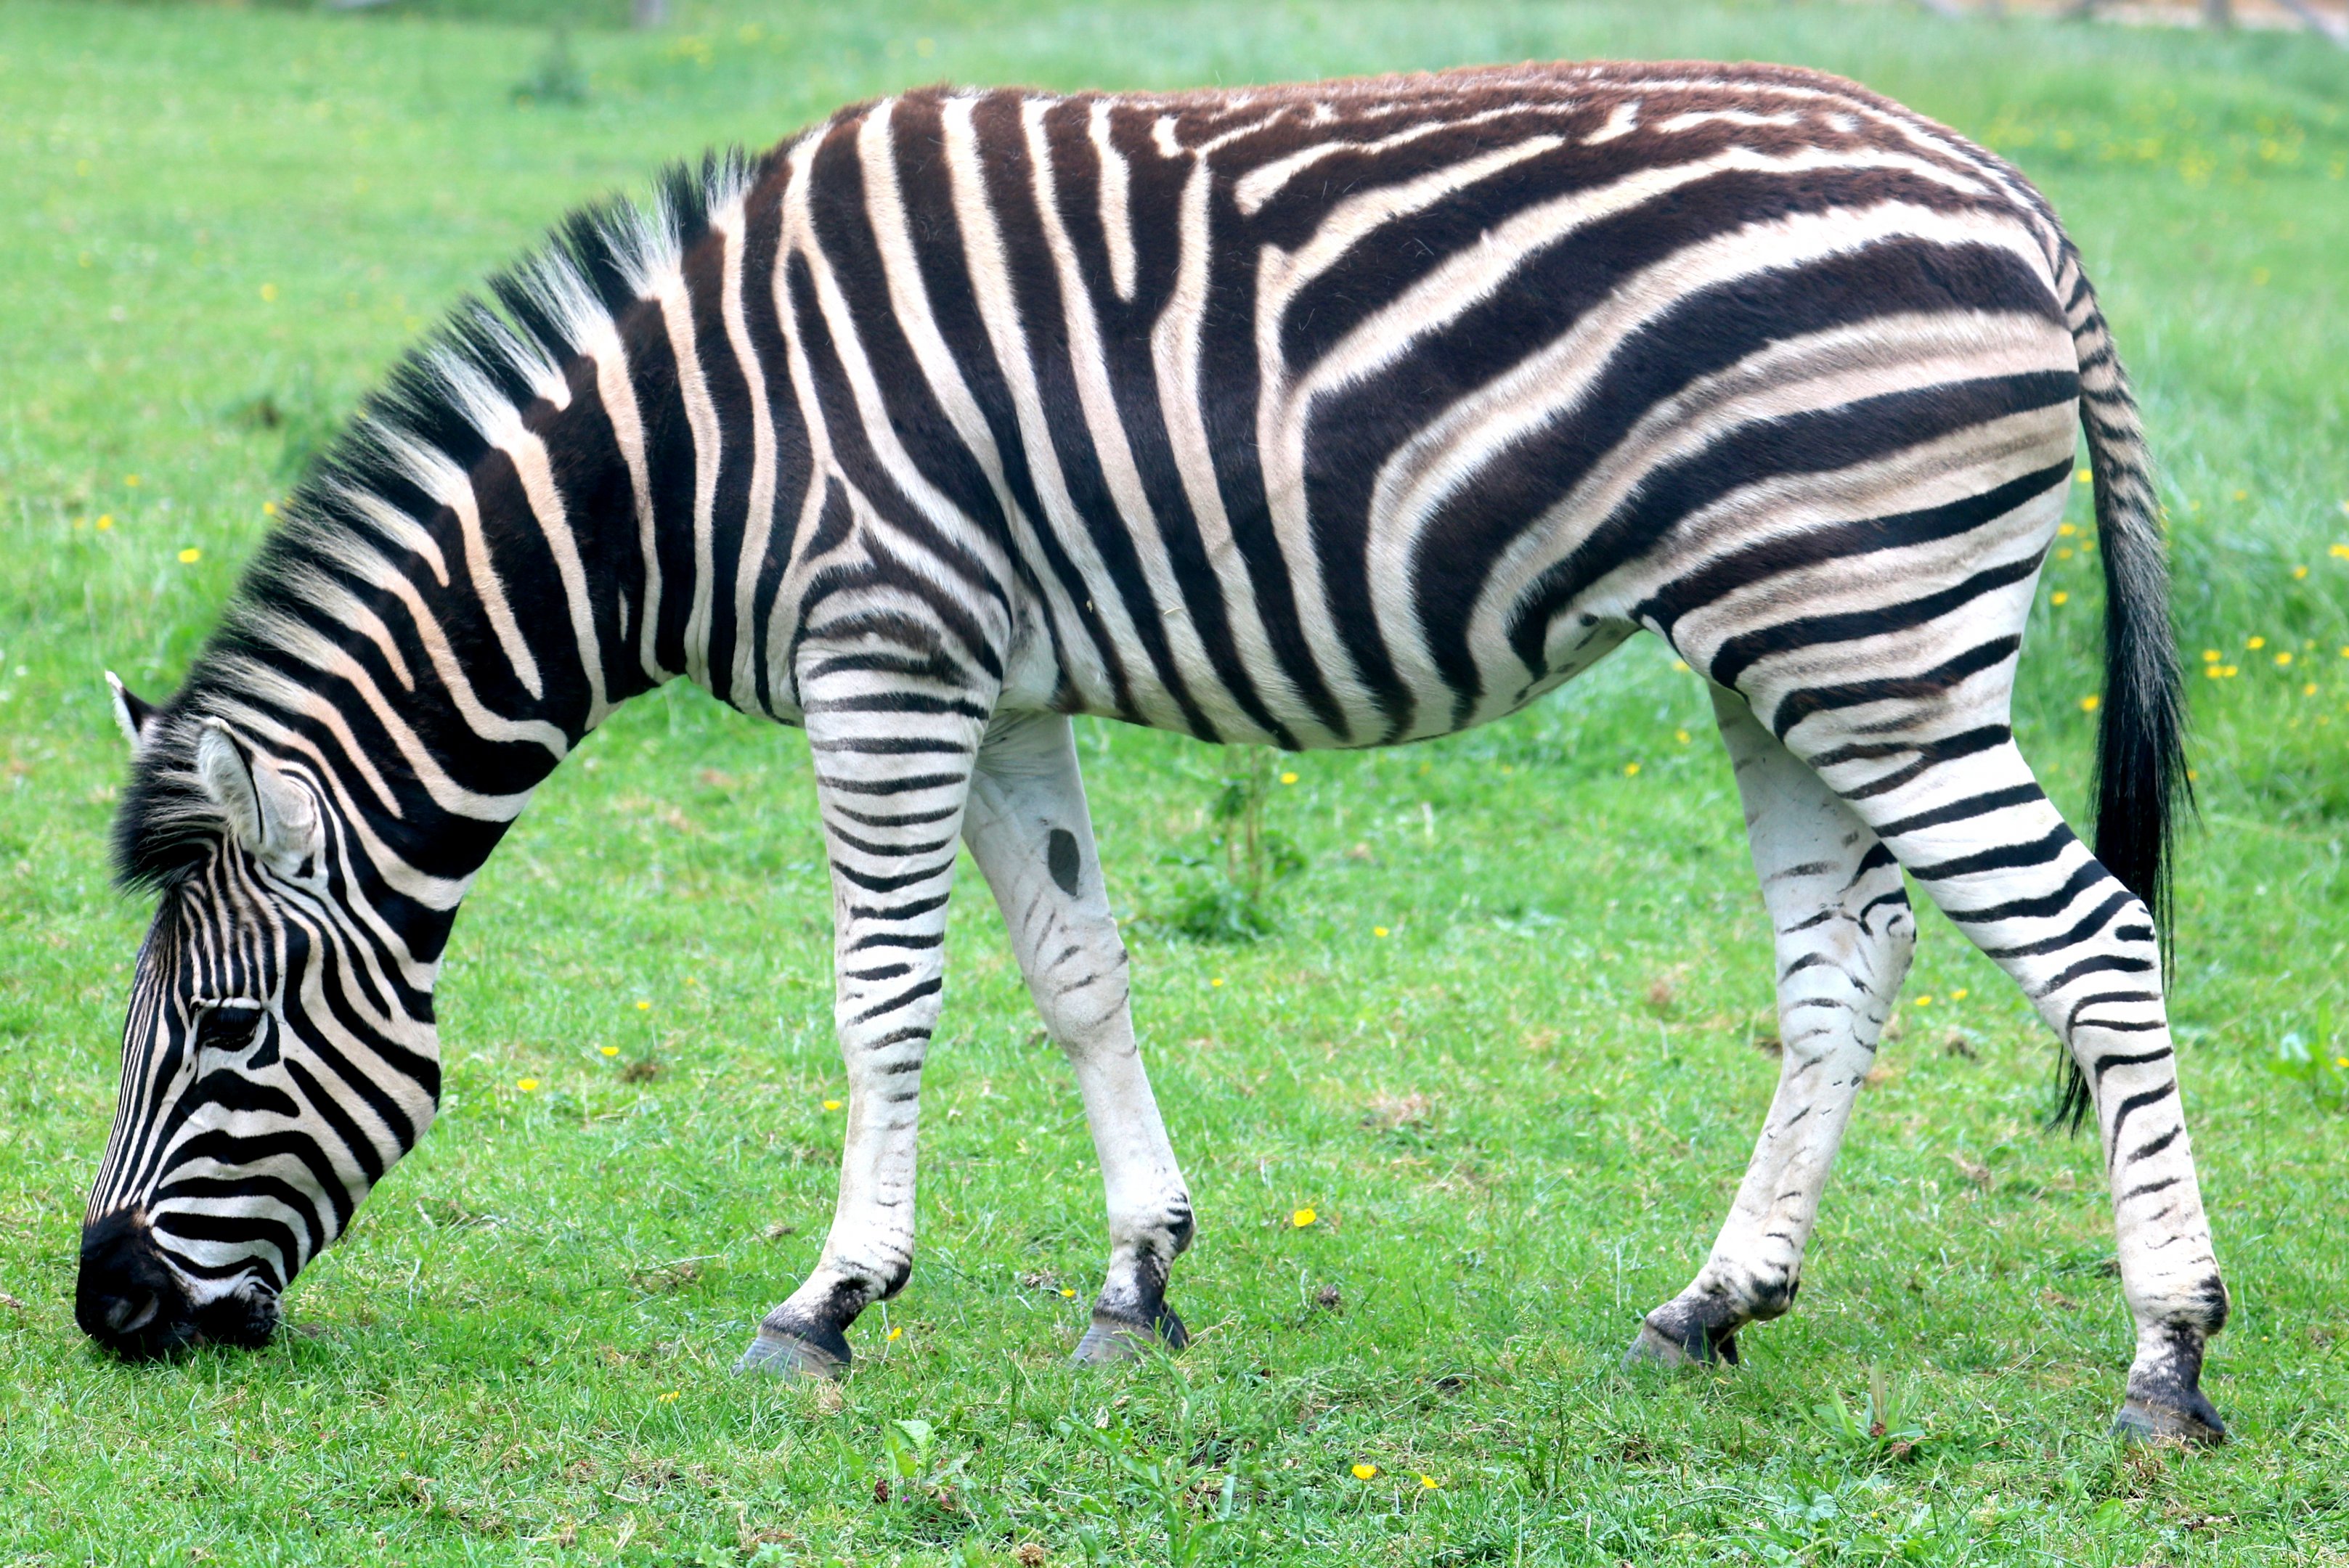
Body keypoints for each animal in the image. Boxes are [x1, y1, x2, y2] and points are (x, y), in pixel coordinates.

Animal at [81, 60, 2227, 1442]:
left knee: (2095, 940)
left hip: (1871, 633)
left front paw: (825, 1304)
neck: (683, 469)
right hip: (1781, 648)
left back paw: (2168, 1357)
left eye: (227, 1034)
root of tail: (2013, 192)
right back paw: (1712, 1305)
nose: (106, 1314)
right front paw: (1136, 1281)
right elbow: (1076, 972)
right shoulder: (1002, 682)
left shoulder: (885, 657)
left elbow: (882, 995)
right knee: (1849, 961)